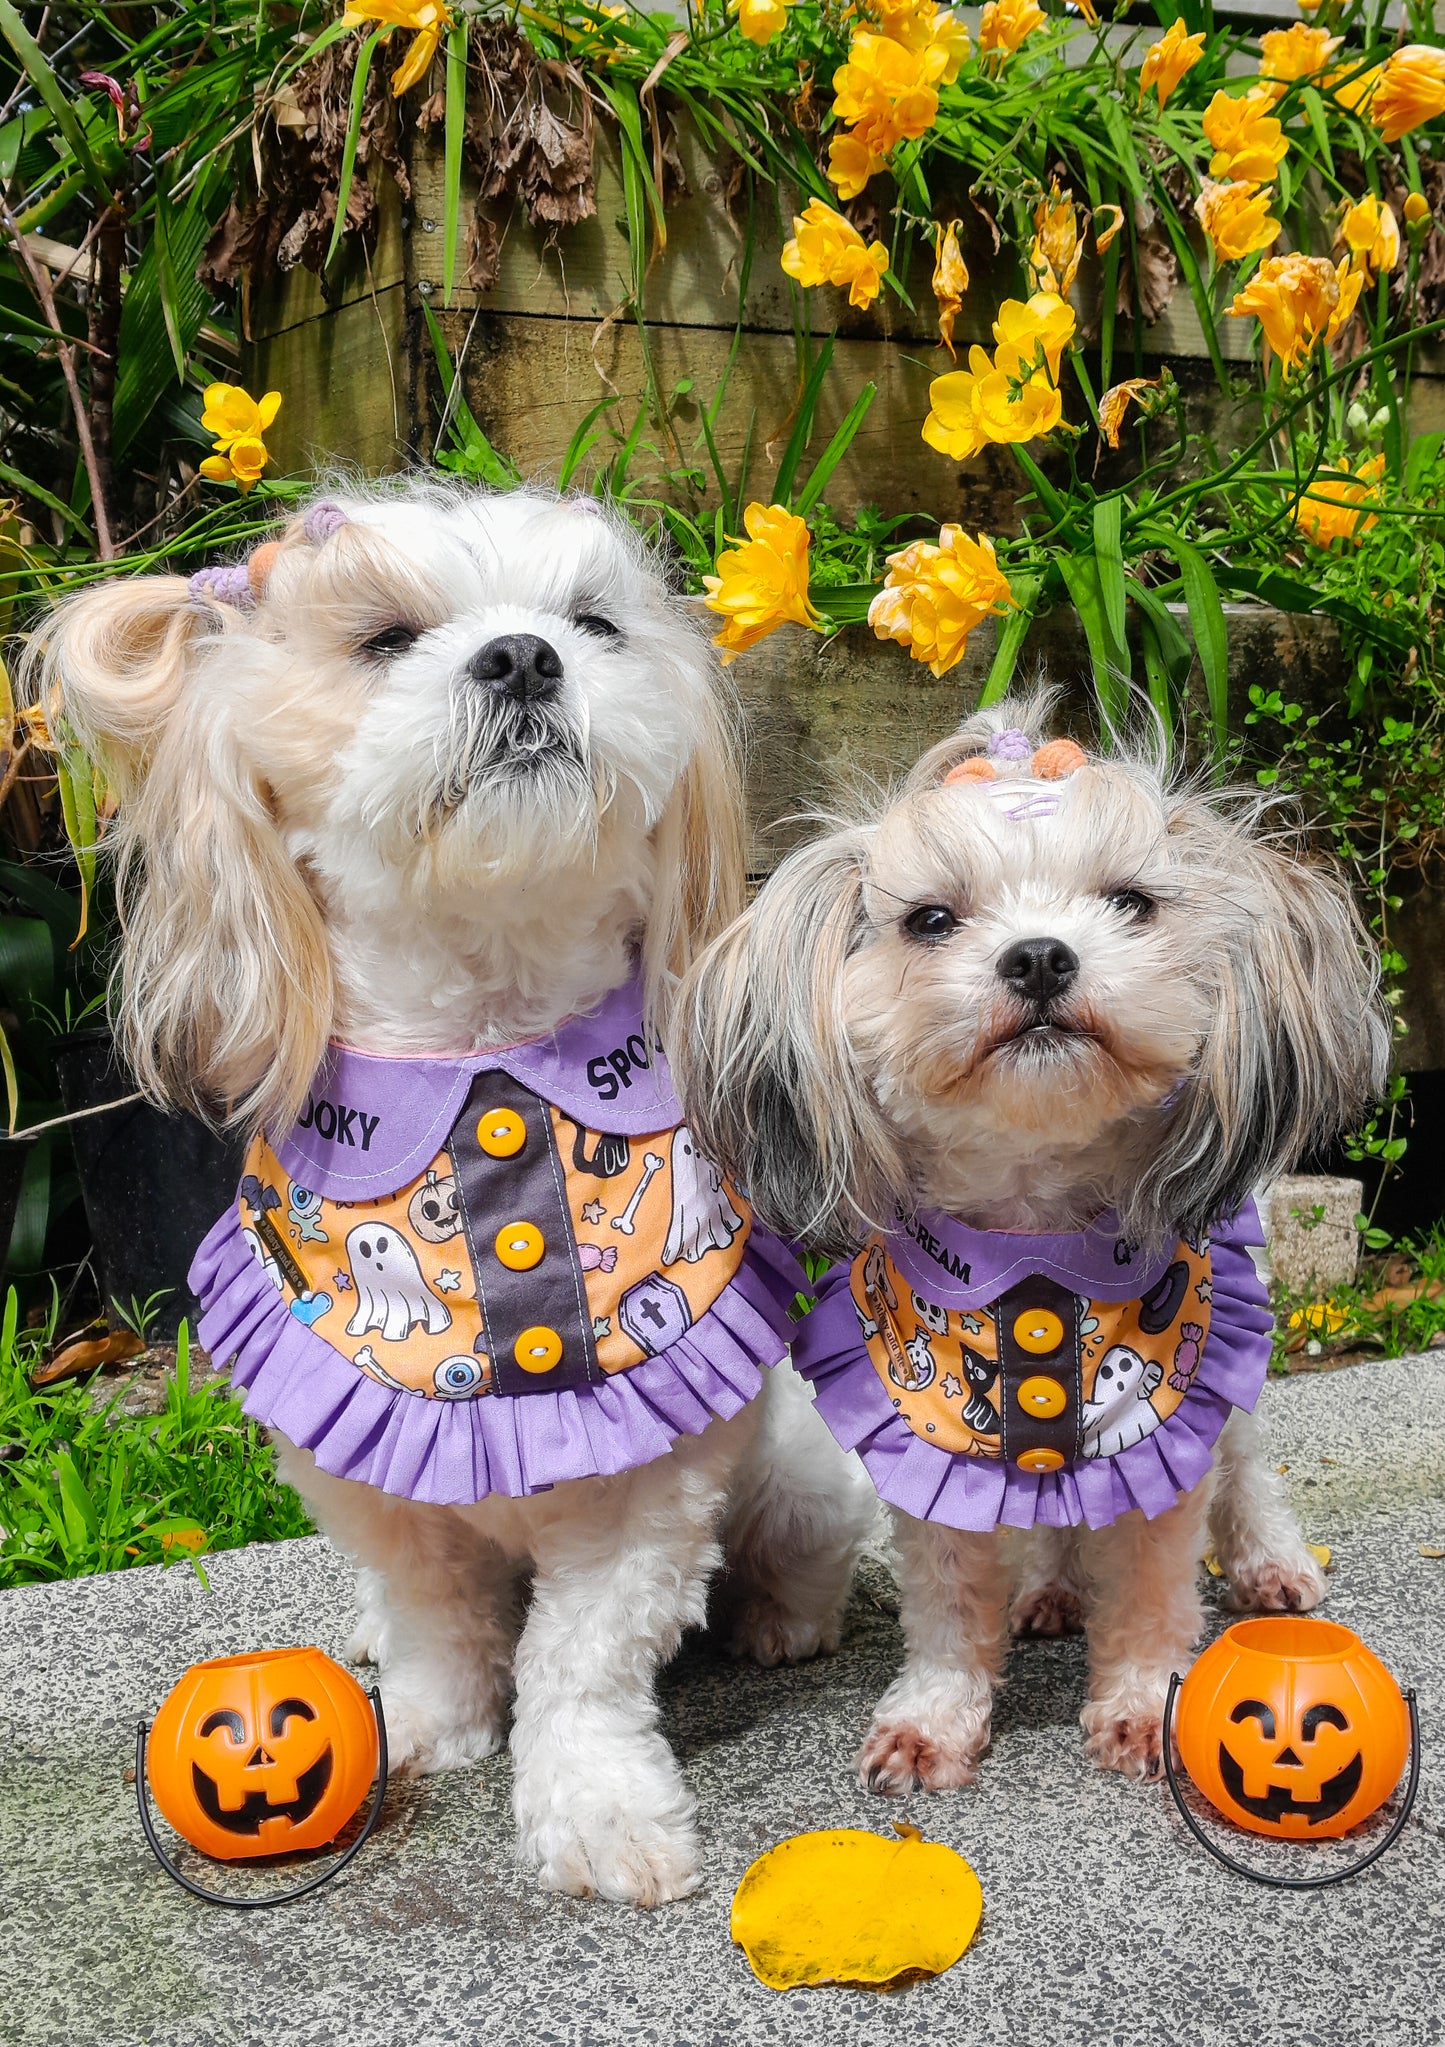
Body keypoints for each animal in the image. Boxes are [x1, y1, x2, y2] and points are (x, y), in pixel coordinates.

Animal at [28, 478, 867, 1899]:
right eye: (382, 640)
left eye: (592, 623)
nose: (523, 655)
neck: (488, 1038)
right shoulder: (364, 1458)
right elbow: (434, 1617)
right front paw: (422, 1726)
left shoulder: (651, 1475)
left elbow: (580, 1658)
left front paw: (594, 1807)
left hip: (794, 1469)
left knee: (805, 1538)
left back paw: (782, 1620)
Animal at [675, 700, 1383, 1793]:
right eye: (929, 919)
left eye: (1130, 901)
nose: (1041, 955)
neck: (1035, 1242)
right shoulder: (924, 1439)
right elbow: (946, 1608)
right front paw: (932, 1720)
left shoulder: (1159, 1426)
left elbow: (1151, 1586)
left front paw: (1140, 1708)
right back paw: (1048, 1588)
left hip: (1234, 1319)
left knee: (1243, 1461)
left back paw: (1269, 1562)